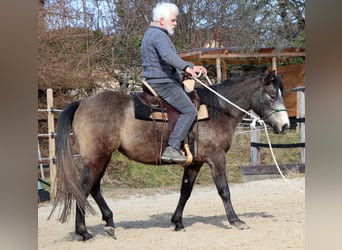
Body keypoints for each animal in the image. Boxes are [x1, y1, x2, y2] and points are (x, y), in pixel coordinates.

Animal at [50, 70, 290, 240]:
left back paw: (109, 223)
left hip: (103, 157)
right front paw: (236, 220)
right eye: (271, 95)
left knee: (94, 188)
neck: (216, 110)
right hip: (96, 158)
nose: (286, 125)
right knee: (83, 188)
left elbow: (186, 191)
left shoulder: (195, 162)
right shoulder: (216, 158)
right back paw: (83, 231)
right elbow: (224, 190)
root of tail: (82, 102)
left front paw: (177, 222)